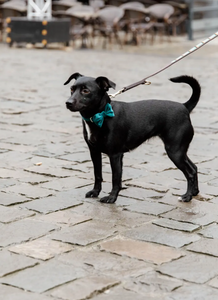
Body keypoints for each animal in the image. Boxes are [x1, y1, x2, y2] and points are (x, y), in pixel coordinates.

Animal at [64, 73, 201, 204]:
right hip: (180, 151)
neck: (100, 116)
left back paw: (187, 196)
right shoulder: (94, 152)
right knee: (194, 168)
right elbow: (97, 174)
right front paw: (95, 192)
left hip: (175, 151)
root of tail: (184, 106)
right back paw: (194, 192)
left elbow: (116, 179)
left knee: (190, 173)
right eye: (71, 89)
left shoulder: (115, 155)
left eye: (86, 91)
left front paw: (111, 198)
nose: (68, 102)